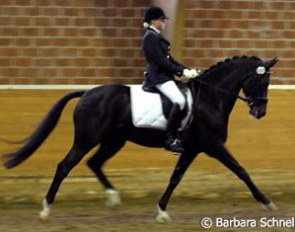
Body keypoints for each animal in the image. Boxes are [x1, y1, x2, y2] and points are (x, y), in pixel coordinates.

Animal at [2, 55, 280, 221]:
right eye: (261, 80)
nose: (260, 112)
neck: (210, 98)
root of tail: (87, 93)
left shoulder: (193, 149)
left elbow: (175, 177)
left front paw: (162, 211)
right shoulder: (214, 145)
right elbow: (241, 171)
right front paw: (268, 203)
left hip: (113, 140)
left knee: (94, 163)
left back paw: (113, 199)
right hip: (87, 139)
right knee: (65, 166)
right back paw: (46, 208)